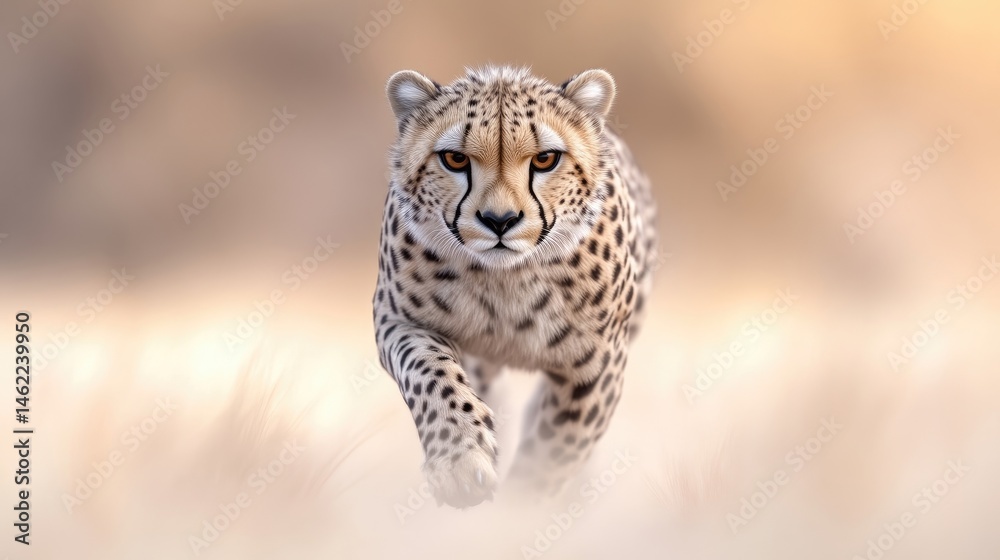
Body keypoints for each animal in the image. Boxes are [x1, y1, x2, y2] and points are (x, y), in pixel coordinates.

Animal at [372, 65, 657, 508]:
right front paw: (459, 461)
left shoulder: (597, 365)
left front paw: (520, 509)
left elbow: (554, 451)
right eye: (455, 158)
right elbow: (431, 374)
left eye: (545, 159)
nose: (499, 220)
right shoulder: (398, 319)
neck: (504, 281)